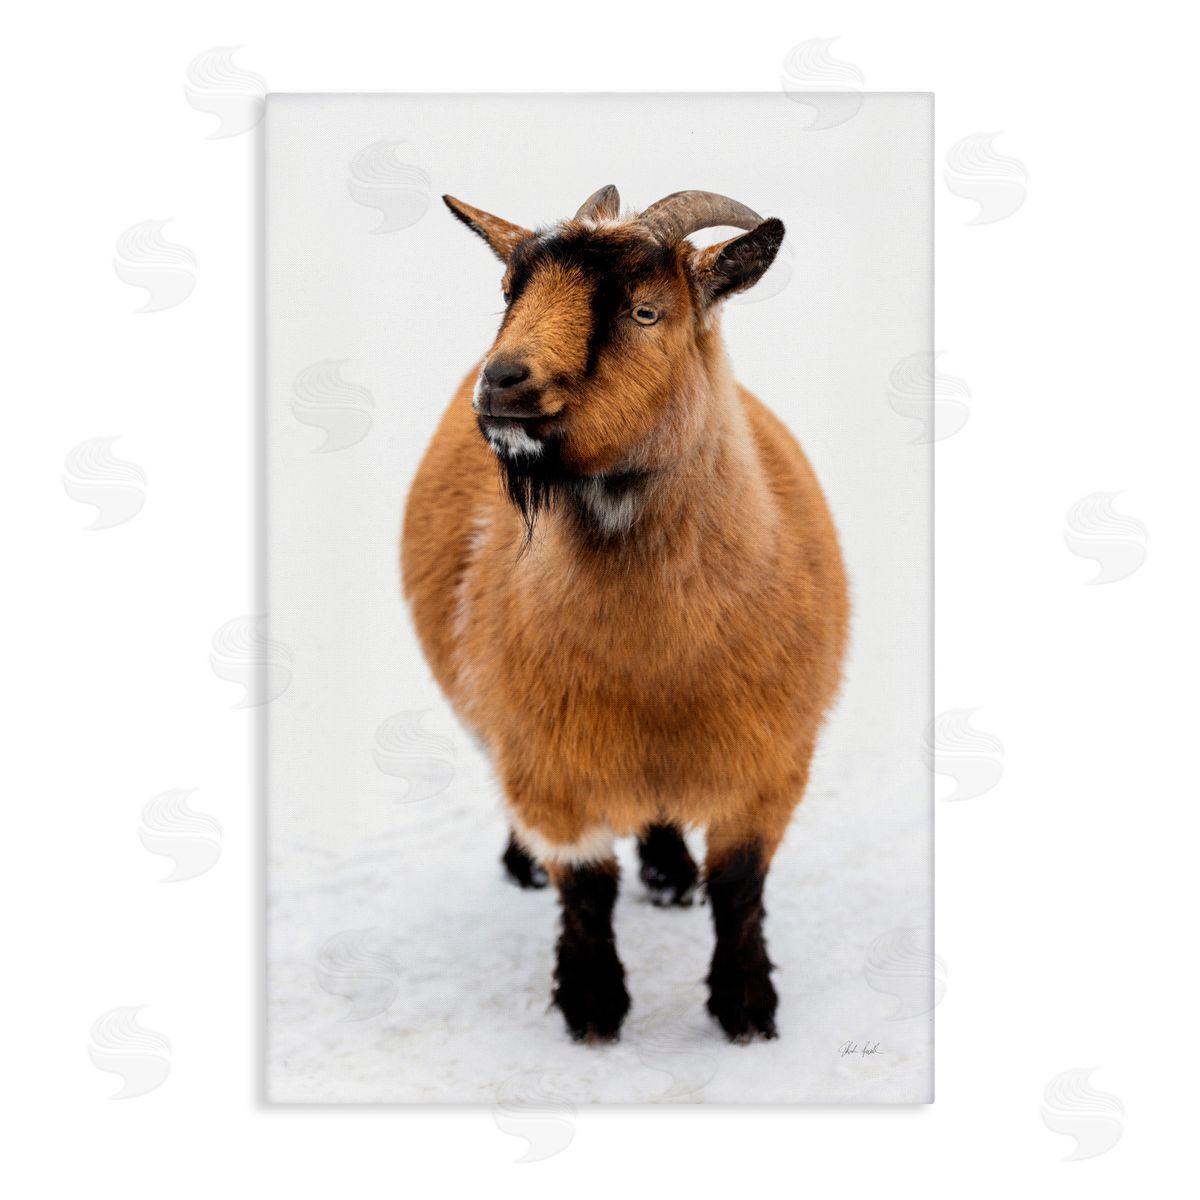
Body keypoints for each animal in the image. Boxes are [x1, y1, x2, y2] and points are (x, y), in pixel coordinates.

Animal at [401, 185, 848, 1043]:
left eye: (645, 312)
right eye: (508, 291)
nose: (502, 382)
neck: (657, 666)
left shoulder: (772, 761)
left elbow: (740, 887)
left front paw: (747, 1012)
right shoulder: (548, 761)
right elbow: (586, 888)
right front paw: (593, 1008)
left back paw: (670, 872)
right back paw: (527, 868)